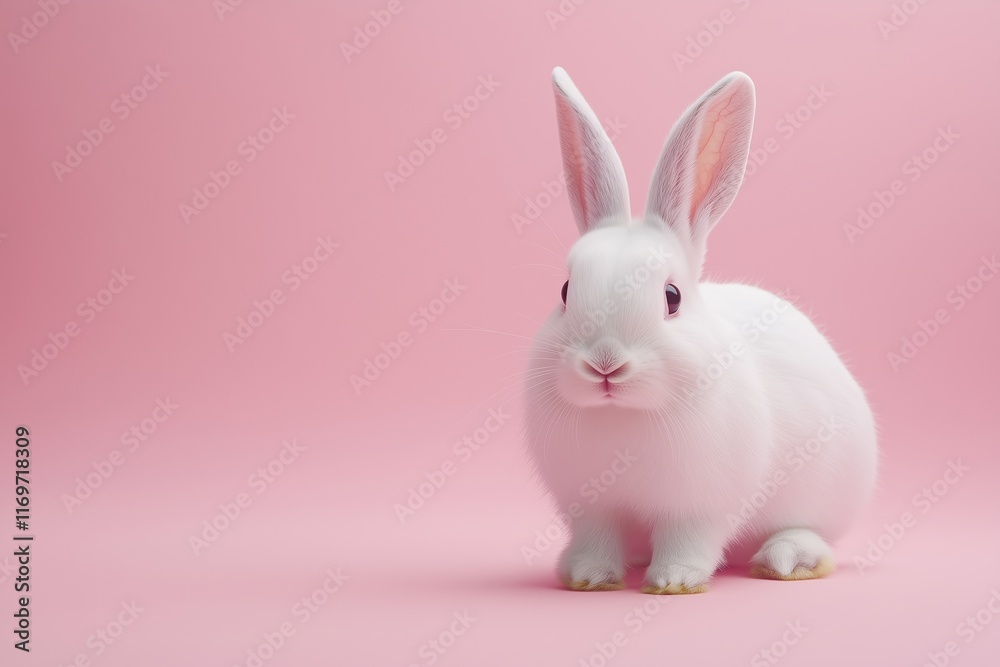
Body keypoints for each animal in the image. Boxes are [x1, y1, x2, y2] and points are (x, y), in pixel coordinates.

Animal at [524, 67, 877, 594]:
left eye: (672, 297)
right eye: (566, 291)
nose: (605, 364)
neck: (623, 415)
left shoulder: (699, 508)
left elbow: (688, 540)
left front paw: (674, 580)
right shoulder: (592, 509)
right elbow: (597, 540)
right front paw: (588, 576)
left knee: (807, 531)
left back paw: (787, 559)